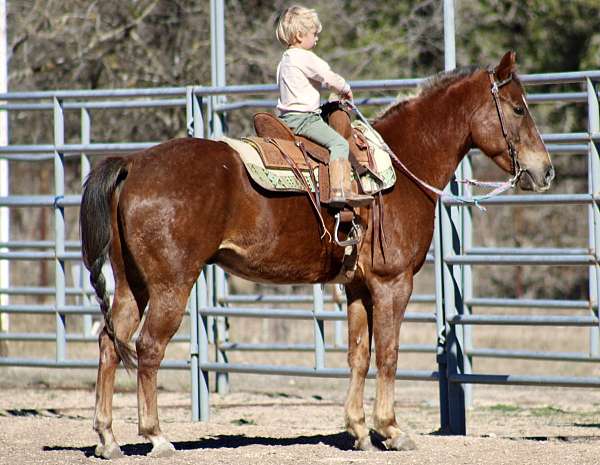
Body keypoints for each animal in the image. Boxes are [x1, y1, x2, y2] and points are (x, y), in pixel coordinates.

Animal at [79, 50, 552, 456]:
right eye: (518, 109)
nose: (545, 171)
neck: (400, 169)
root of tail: (134, 164)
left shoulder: (358, 287)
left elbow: (359, 355)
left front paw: (359, 431)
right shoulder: (393, 284)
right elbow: (389, 354)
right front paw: (391, 430)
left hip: (133, 286)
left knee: (109, 343)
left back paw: (108, 439)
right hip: (170, 286)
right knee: (148, 348)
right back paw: (156, 437)